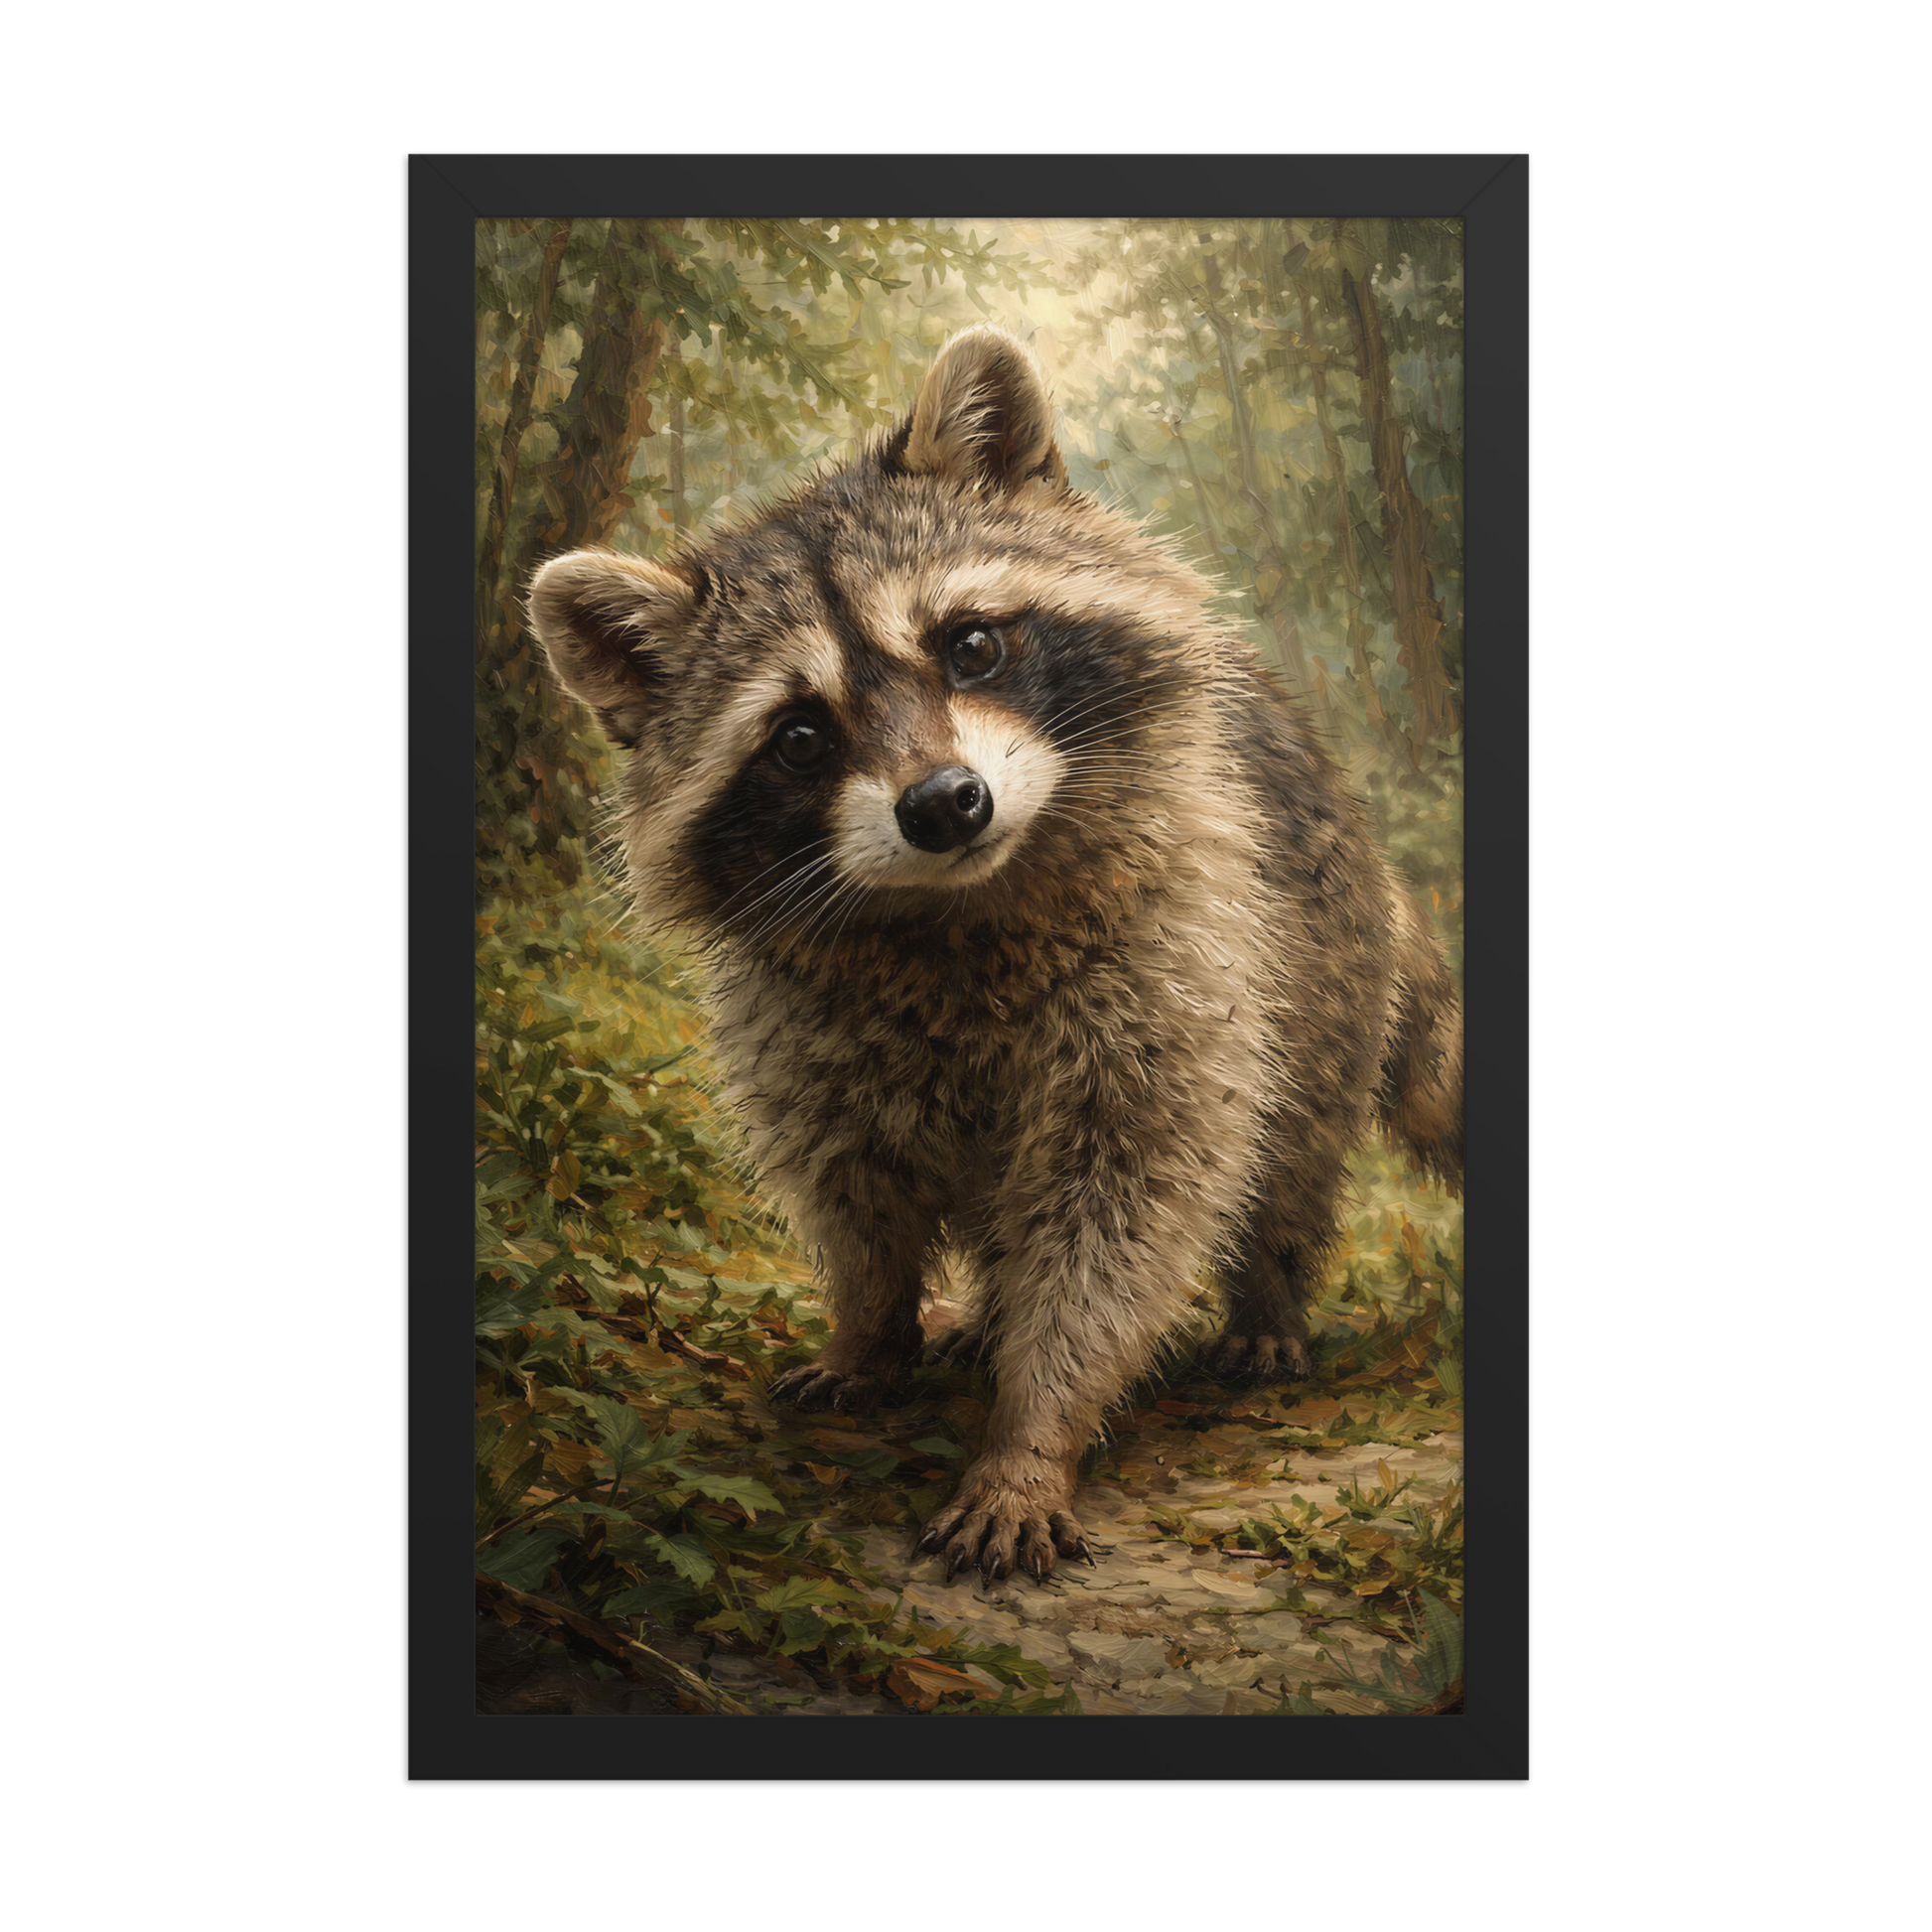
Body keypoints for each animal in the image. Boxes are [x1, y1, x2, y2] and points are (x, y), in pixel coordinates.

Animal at [527, 325, 1462, 1587]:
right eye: (798, 735)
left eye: (970, 644)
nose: (943, 804)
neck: (955, 910)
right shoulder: (798, 1025)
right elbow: (851, 1189)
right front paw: (869, 1328)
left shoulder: (1176, 959)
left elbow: (1121, 1213)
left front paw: (1031, 1433)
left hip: (1319, 964)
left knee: (1290, 1150)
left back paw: (1265, 1295)